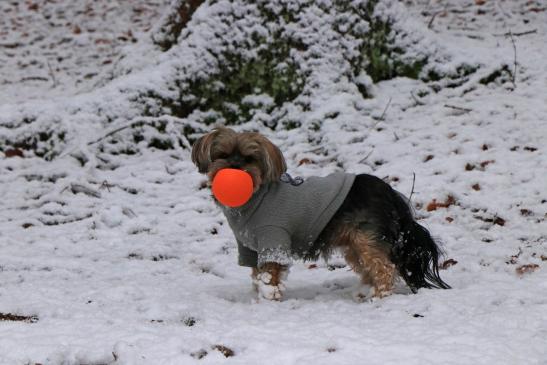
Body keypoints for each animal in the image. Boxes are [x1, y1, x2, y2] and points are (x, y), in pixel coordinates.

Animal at [193, 126, 450, 300]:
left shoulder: (273, 241)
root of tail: (388, 191)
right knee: (371, 268)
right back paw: (364, 292)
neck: (253, 200)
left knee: (385, 268)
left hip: (366, 239)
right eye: (223, 155)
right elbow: (257, 277)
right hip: (354, 244)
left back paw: (378, 298)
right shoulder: (249, 249)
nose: (234, 168)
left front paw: (269, 300)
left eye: (249, 159)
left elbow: (269, 278)